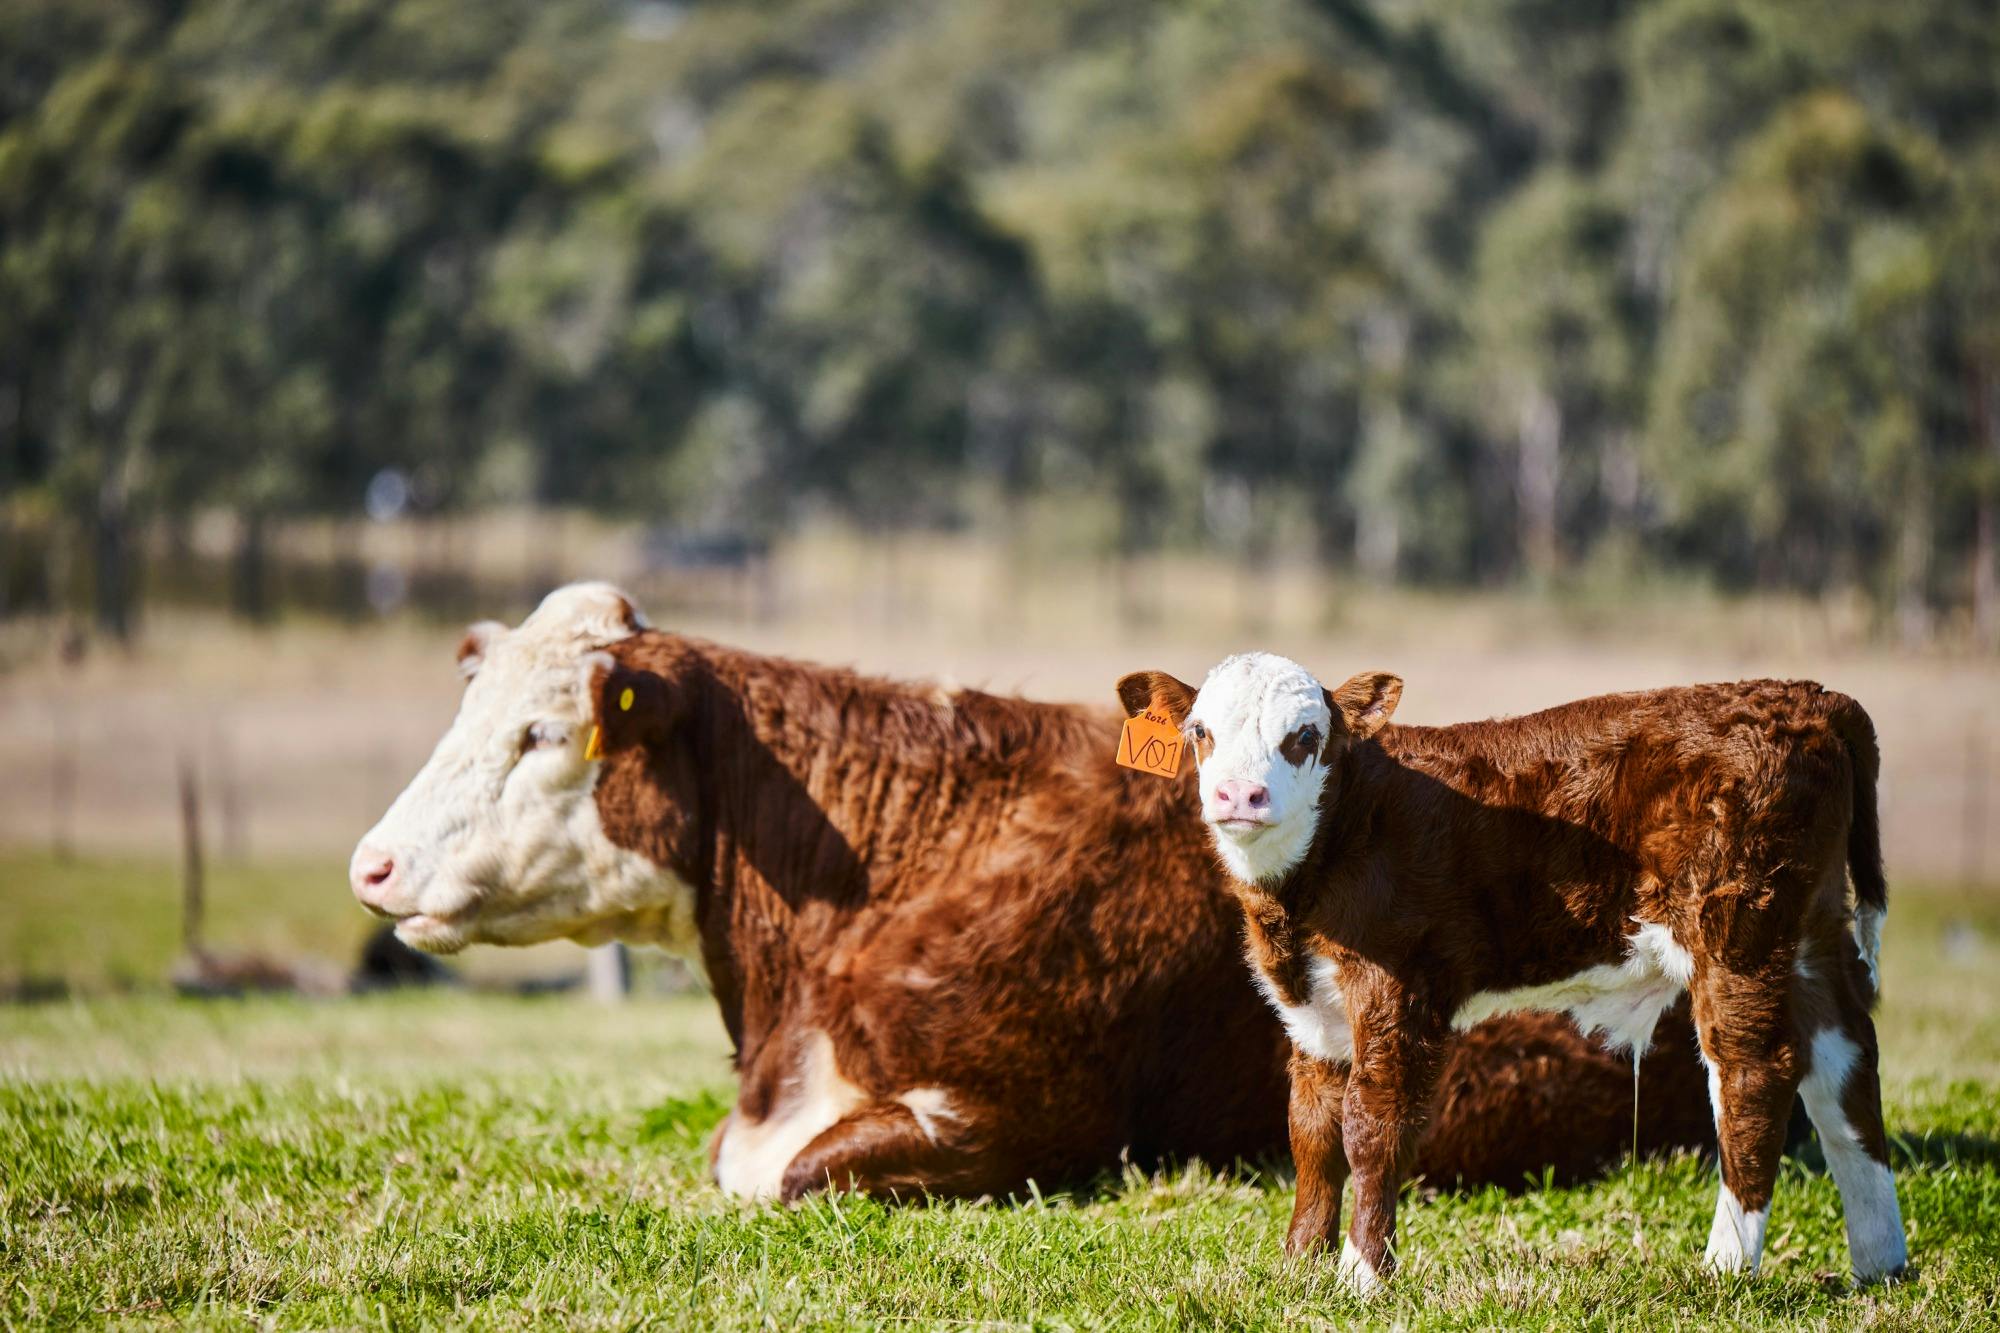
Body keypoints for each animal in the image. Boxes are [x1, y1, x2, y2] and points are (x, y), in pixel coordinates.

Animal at [1116, 652, 1907, 1293]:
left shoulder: (1397, 987)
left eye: (1304, 737)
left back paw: (1725, 1266)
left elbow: (1372, 1125)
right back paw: (1880, 1261)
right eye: (1198, 731)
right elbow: (1310, 1130)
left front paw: (1362, 1275)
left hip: (1738, 927)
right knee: (1845, 1065)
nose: (1237, 797)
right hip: (1809, 929)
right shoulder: (1313, 1007)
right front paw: (1298, 1264)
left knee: (1754, 1073)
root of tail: (1808, 696)